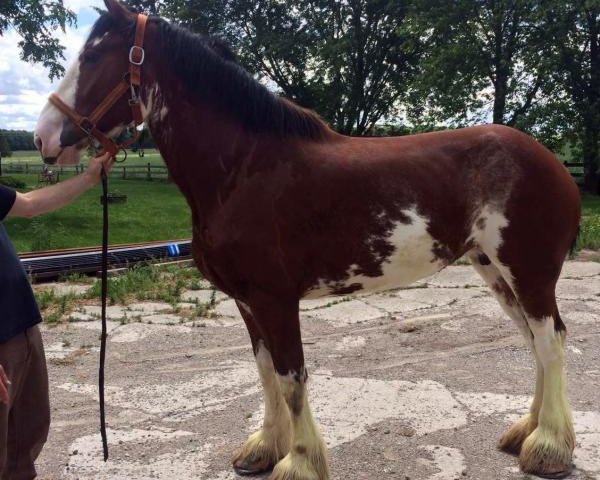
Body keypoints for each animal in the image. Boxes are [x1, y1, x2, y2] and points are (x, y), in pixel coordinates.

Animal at [32, 1, 580, 478]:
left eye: (93, 56)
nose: (43, 138)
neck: (242, 169)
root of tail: (552, 162)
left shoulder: (275, 299)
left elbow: (292, 378)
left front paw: (298, 463)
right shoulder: (248, 301)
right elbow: (266, 373)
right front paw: (263, 449)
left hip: (528, 272)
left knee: (550, 341)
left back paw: (549, 448)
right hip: (493, 269)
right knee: (534, 342)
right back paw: (525, 432)